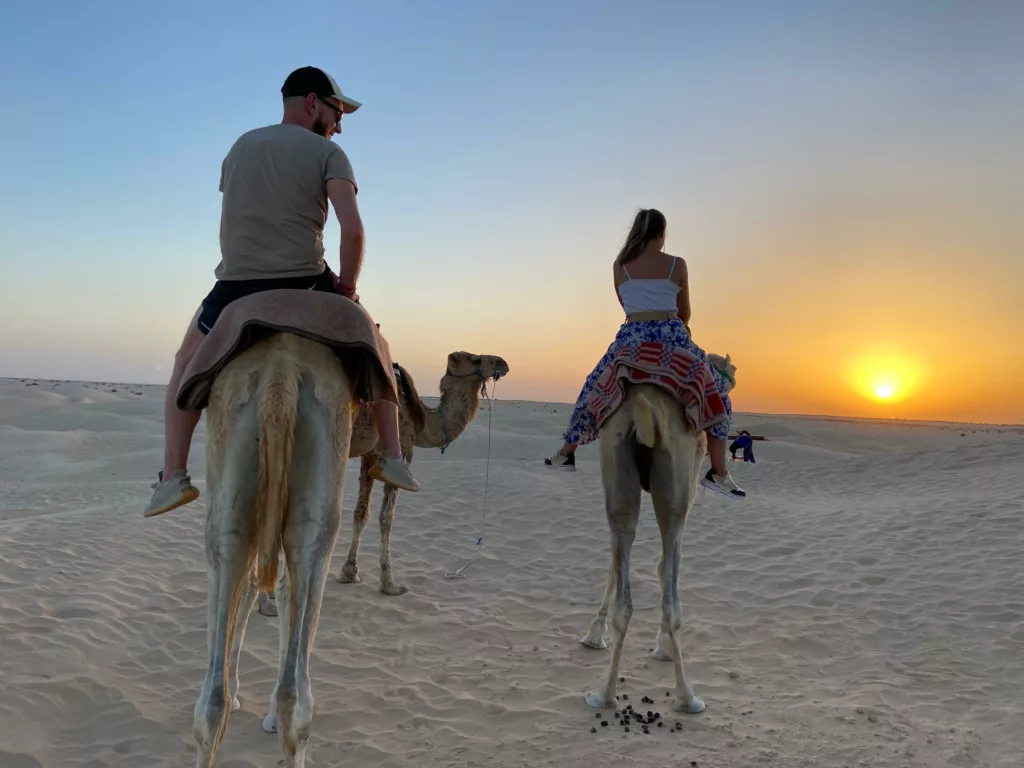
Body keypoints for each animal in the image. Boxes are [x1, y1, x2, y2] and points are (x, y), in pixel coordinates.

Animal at [254, 348, 507, 618]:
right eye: (475, 359)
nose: (503, 363)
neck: (421, 419)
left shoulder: (370, 457)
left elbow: (361, 513)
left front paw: (349, 571)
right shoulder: (402, 450)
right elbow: (386, 518)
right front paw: (389, 583)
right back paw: (266, 602)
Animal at [577, 352, 737, 720]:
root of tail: (644, 409)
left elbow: (615, 566)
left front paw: (593, 635)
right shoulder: (690, 482)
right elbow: (666, 567)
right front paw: (662, 646)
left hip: (616, 466)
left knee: (625, 594)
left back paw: (604, 695)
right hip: (675, 480)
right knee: (672, 595)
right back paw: (688, 698)